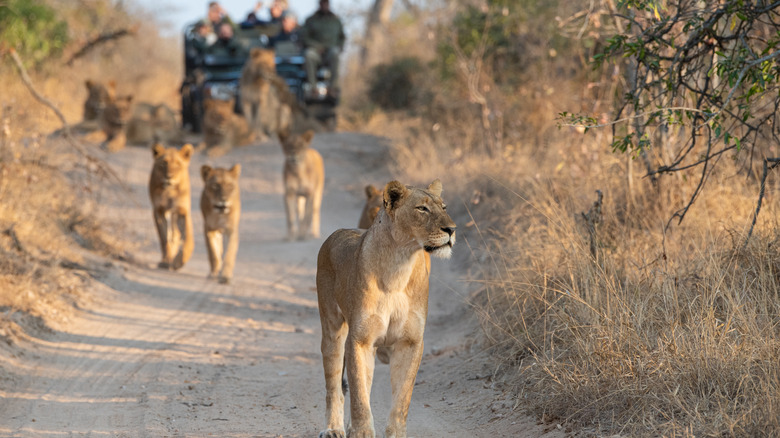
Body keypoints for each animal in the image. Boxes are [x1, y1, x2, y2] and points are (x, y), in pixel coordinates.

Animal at [315, 179, 456, 438]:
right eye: (422, 209)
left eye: (444, 207)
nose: (452, 229)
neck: (400, 265)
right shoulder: (359, 340)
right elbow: (359, 397)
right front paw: (361, 433)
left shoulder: (410, 342)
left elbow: (402, 398)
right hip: (332, 330)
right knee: (335, 387)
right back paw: (333, 429)